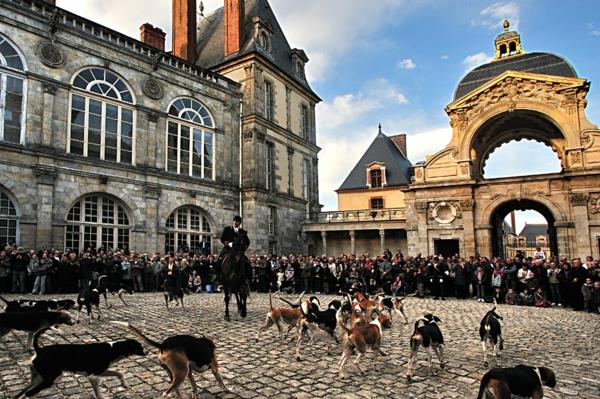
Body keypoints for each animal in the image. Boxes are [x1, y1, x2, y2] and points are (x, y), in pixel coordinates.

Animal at [15, 328, 145, 399]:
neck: (113, 349)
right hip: (51, 378)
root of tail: (39, 350)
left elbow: (119, 373)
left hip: (37, 379)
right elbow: (98, 393)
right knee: (28, 393)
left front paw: (124, 384)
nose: (147, 352)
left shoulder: (100, 372)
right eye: (140, 347)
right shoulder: (93, 376)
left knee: (21, 393)